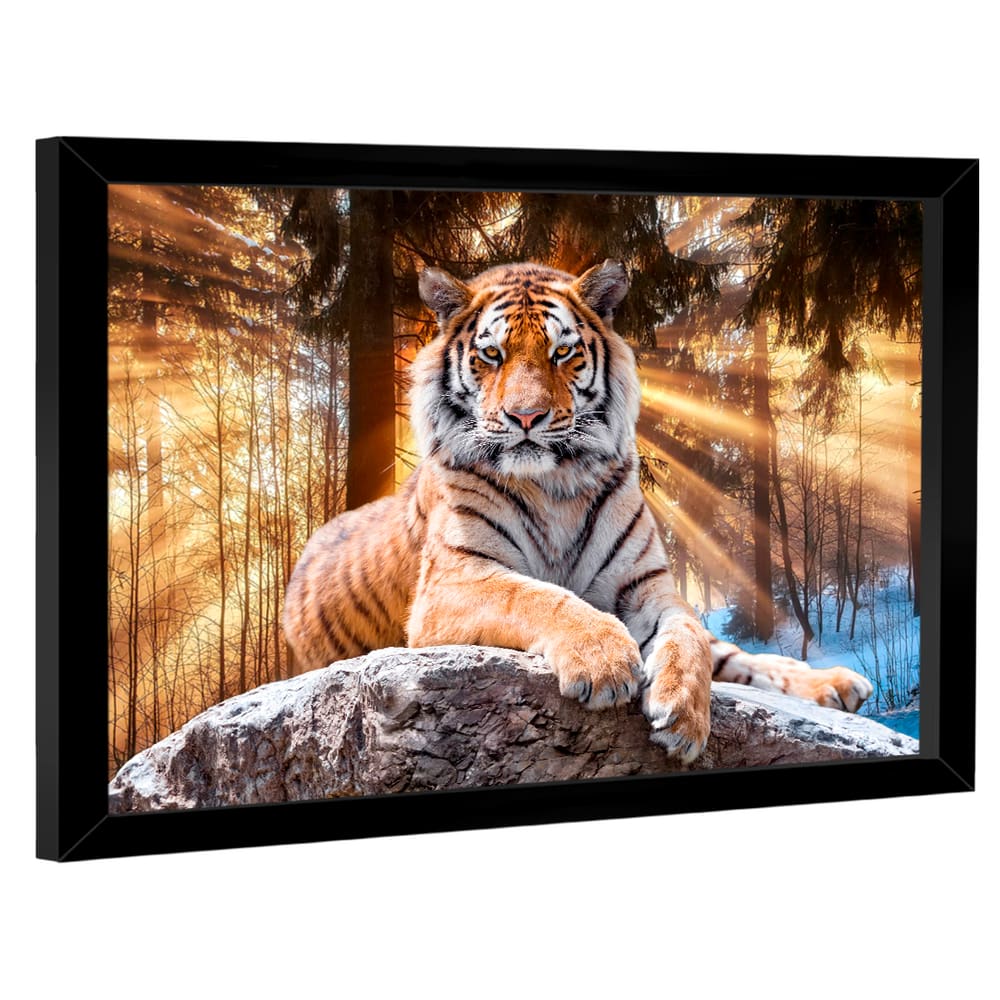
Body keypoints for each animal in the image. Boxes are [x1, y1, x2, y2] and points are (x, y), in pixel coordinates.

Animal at [282, 259, 873, 764]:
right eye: (492, 355)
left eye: (561, 354)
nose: (525, 417)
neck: (555, 484)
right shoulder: (452, 581)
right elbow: (536, 595)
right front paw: (604, 659)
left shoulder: (648, 586)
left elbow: (688, 637)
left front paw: (684, 714)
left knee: (731, 654)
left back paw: (839, 684)